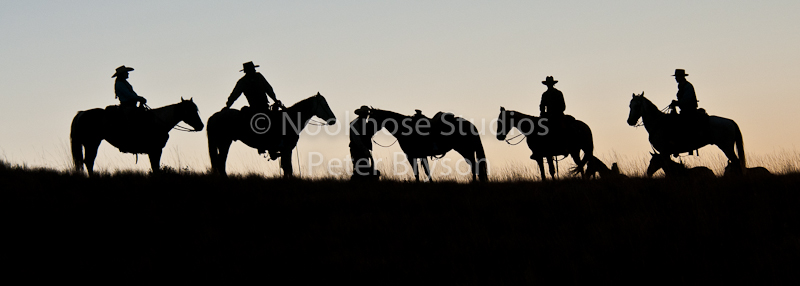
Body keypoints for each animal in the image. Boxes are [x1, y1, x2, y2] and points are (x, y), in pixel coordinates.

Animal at [70, 97, 205, 175]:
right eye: (190, 110)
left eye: (196, 109)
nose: (201, 126)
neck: (158, 122)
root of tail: (81, 113)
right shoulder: (155, 150)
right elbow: (155, 167)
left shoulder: (154, 151)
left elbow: (155, 167)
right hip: (92, 143)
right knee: (89, 161)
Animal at [208, 92, 336, 177]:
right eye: (324, 104)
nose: (333, 119)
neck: (291, 119)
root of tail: (215, 115)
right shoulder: (287, 149)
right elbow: (288, 168)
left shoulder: (285, 150)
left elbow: (286, 167)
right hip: (225, 143)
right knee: (221, 162)